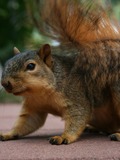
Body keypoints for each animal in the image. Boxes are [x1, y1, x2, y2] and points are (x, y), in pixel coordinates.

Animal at [0, 0, 120, 144]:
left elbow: (78, 115)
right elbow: (27, 122)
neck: (41, 93)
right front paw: (8, 133)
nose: (5, 83)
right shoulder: (34, 106)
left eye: (31, 66)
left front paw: (63, 137)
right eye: (7, 62)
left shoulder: (76, 96)